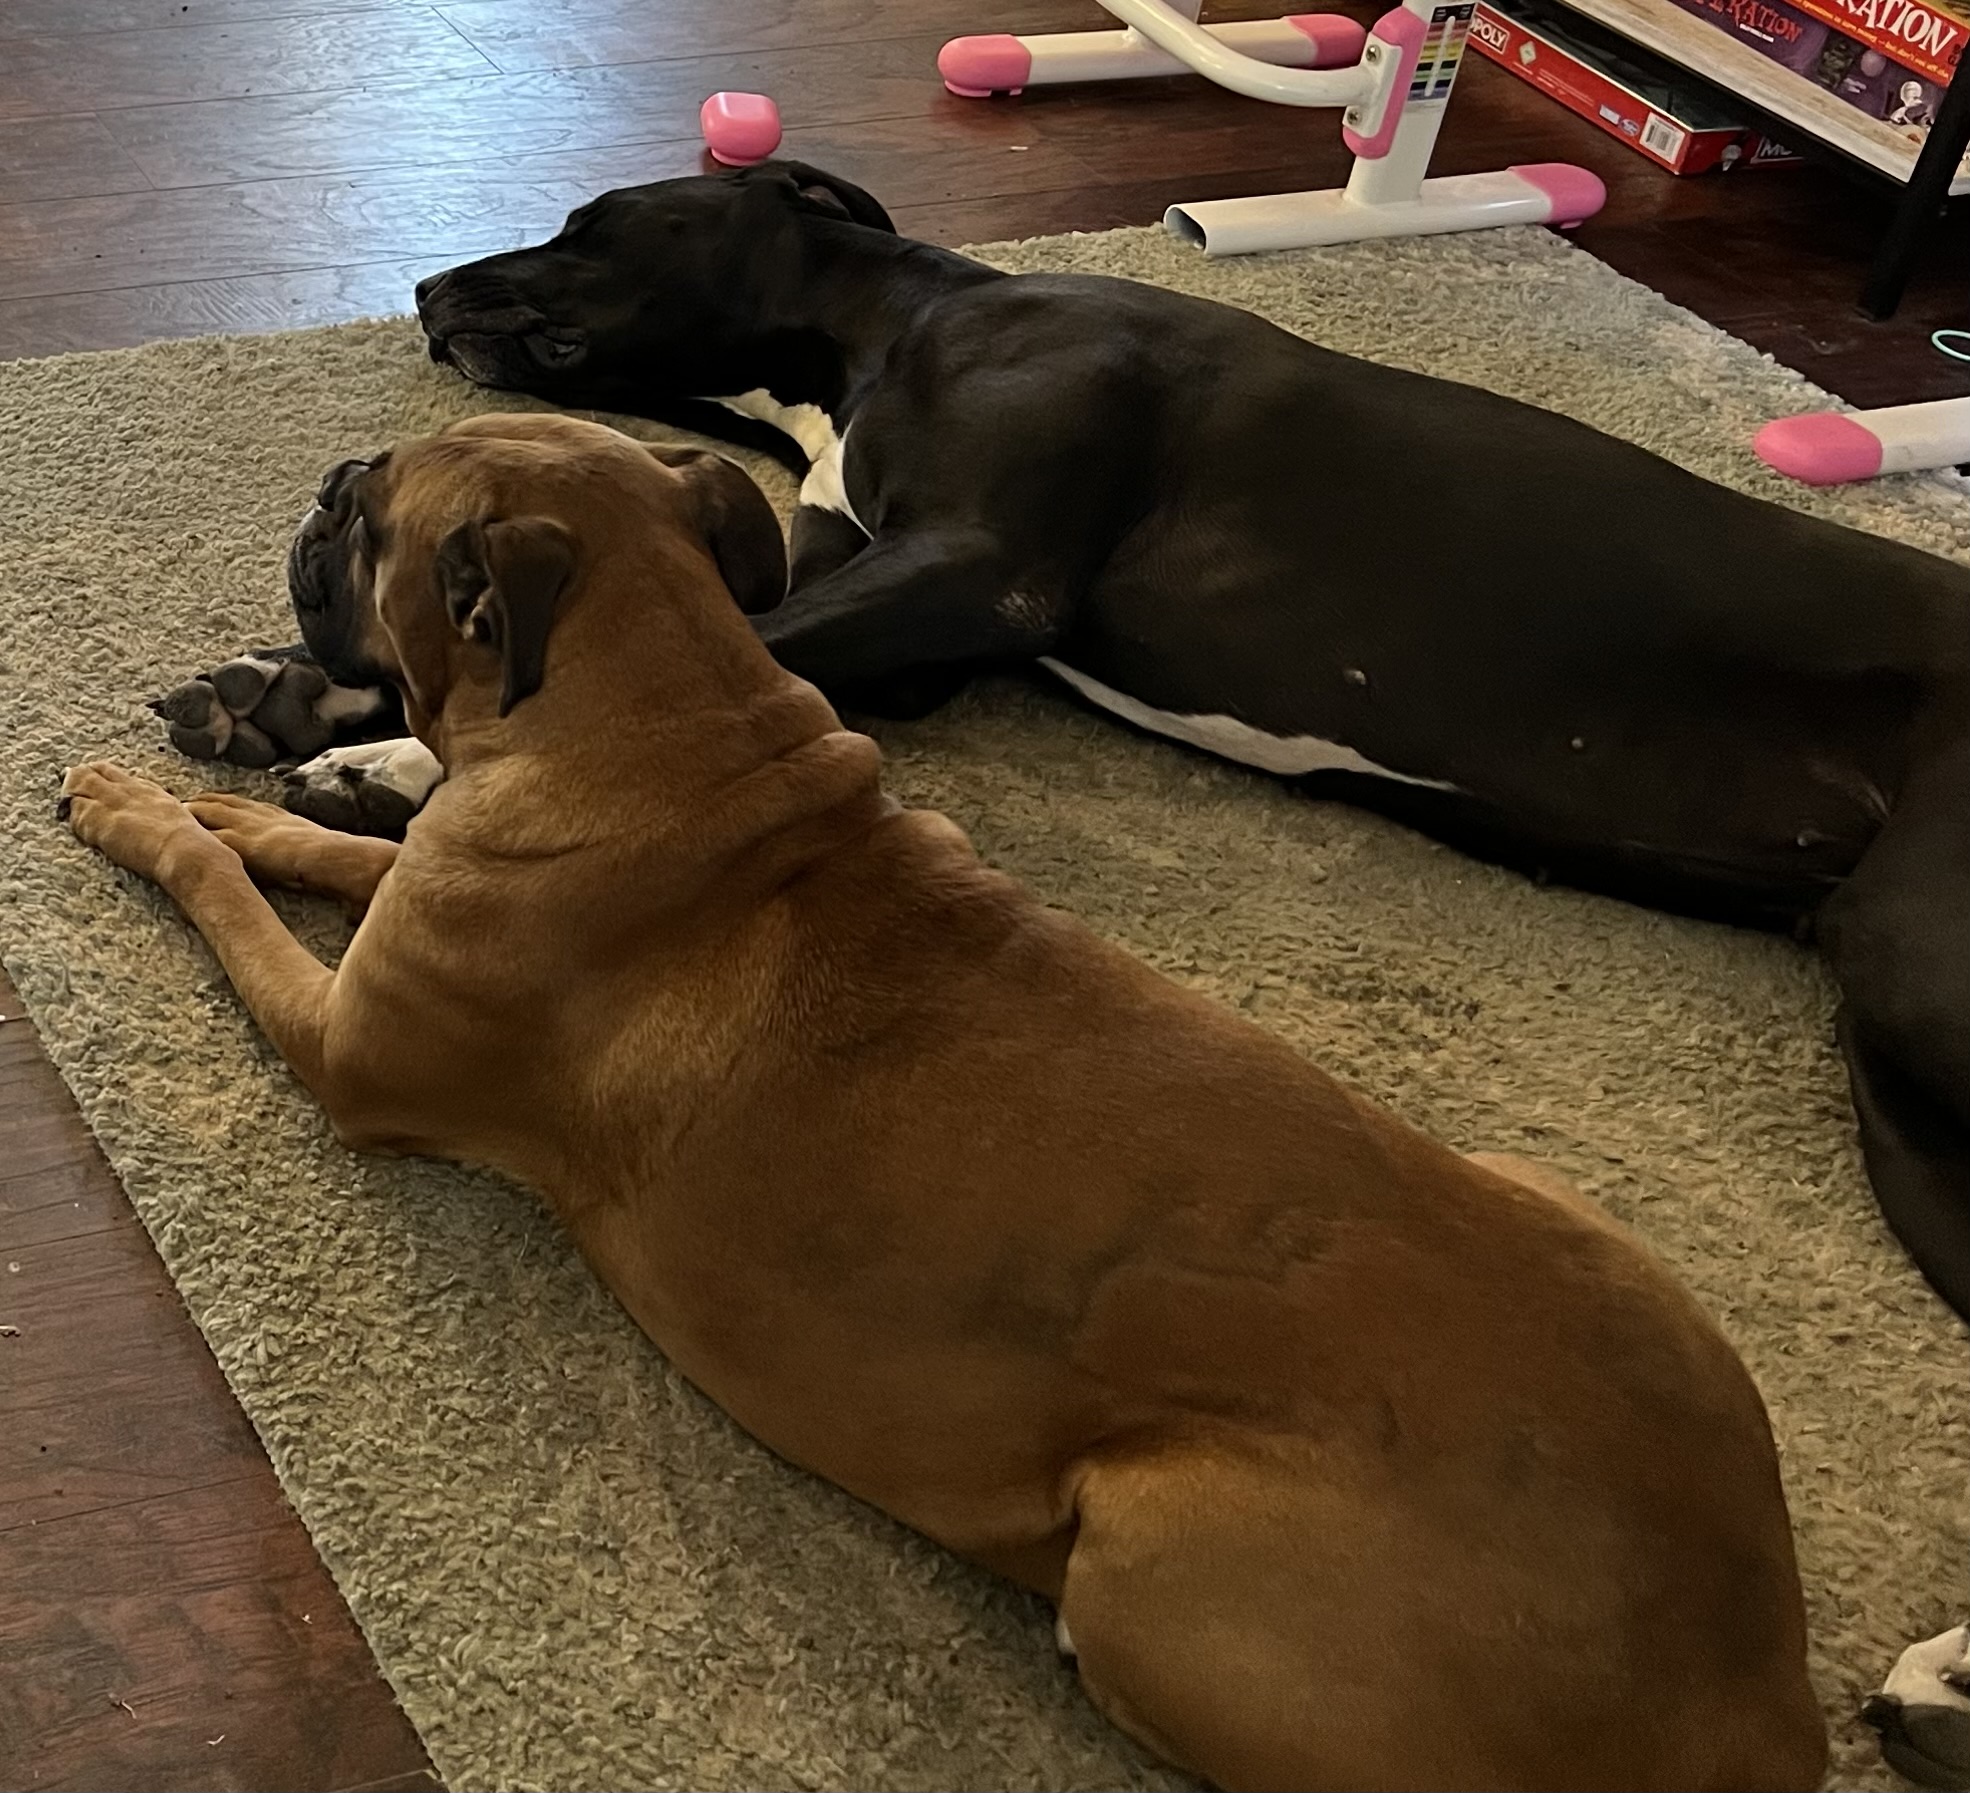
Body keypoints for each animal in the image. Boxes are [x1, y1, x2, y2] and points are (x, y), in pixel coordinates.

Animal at [72, 413, 1824, 1792]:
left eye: (371, 520)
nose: (326, 480)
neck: (669, 722)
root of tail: (1758, 1698)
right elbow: (315, 851)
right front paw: (248, 794)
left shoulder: (348, 1049)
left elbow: (230, 895)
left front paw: (148, 813)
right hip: (1549, 1191)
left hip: (1156, 1560)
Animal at [159, 162, 1970, 1329]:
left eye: (596, 223)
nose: (424, 287)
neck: (881, 342)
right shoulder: (902, 624)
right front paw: (293, 693)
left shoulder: (980, 572)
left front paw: (385, 766)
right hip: (1903, 1080)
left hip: (1921, 984)